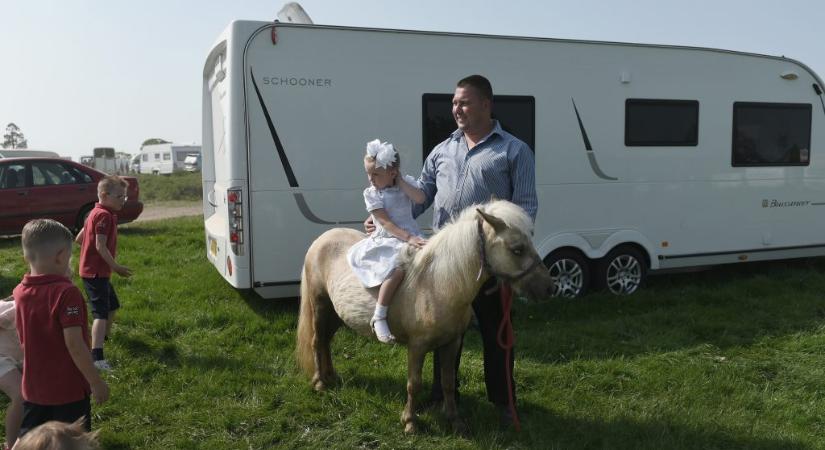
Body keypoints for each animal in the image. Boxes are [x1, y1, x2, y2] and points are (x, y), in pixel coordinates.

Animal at [292, 200, 552, 432]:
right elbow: (413, 384)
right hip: (320, 305)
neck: (437, 283)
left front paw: (455, 421)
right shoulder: (416, 347)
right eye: (517, 249)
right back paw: (320, 382)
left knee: (326, 341)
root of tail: (321, 239)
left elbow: (448, 382)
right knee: (317, 341)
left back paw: (332, 376)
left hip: (335, 313)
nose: (549, 287)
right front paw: (410, 422)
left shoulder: (451, 343)